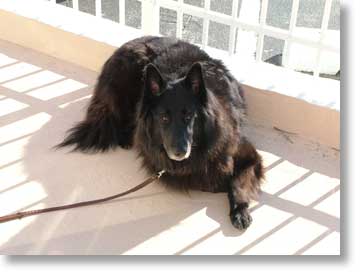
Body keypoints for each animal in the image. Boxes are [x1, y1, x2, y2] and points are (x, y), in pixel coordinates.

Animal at [57, 36, 262, 229]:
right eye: (164, 118)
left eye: (189, 116)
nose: (179, 152)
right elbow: (208, 180)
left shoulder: (248, 155)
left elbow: (237, 183)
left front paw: (239, 210)